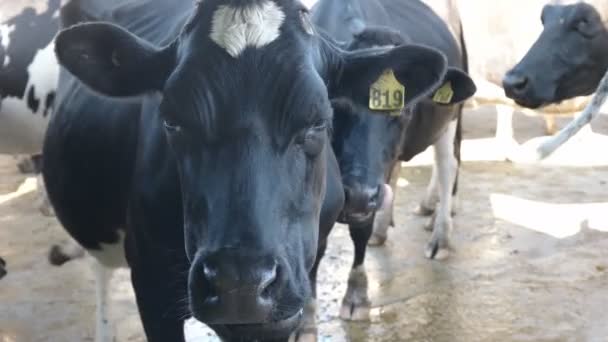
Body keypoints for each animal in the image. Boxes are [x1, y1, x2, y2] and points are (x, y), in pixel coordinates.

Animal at [308, 0, 476, 320]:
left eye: (404, 111)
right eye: (333, 106)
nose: (359, 196)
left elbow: (359, 231)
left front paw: (357, 294)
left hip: (451, 118)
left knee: (447, 166)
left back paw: (440, 235)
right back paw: (385, 228)